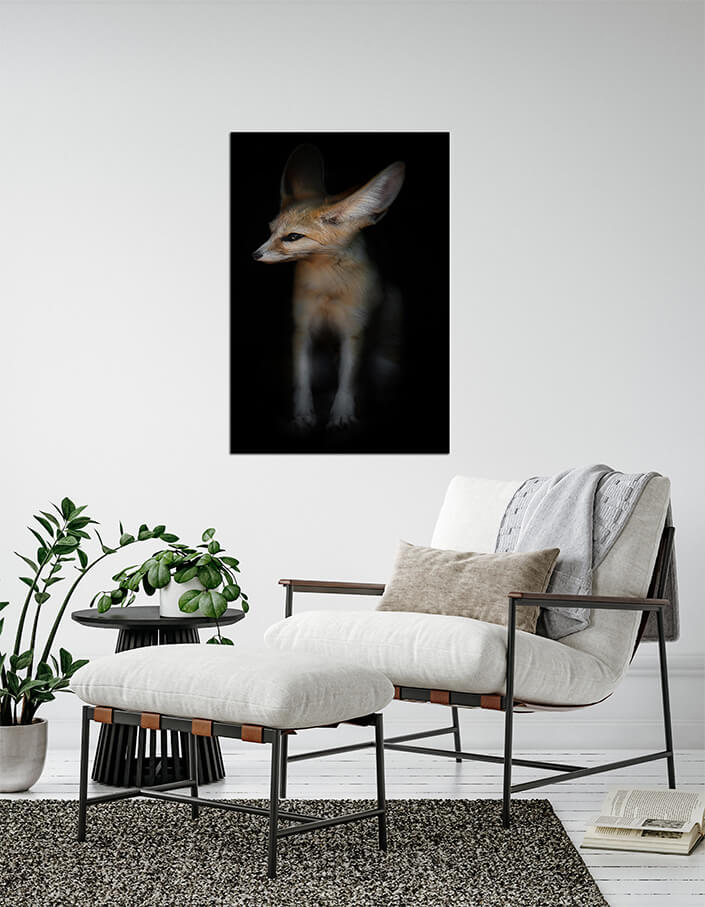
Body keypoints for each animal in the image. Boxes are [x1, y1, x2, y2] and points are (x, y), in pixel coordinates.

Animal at [252, 144, 405, 429]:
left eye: (293, 237)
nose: (255, 255)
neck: (328, 290)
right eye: (270, 230)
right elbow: (302, 380)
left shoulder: (354, 331)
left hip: (384, 364)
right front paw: (303, 414)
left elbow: (348, 380)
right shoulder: (302, 328)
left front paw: (342, 414)